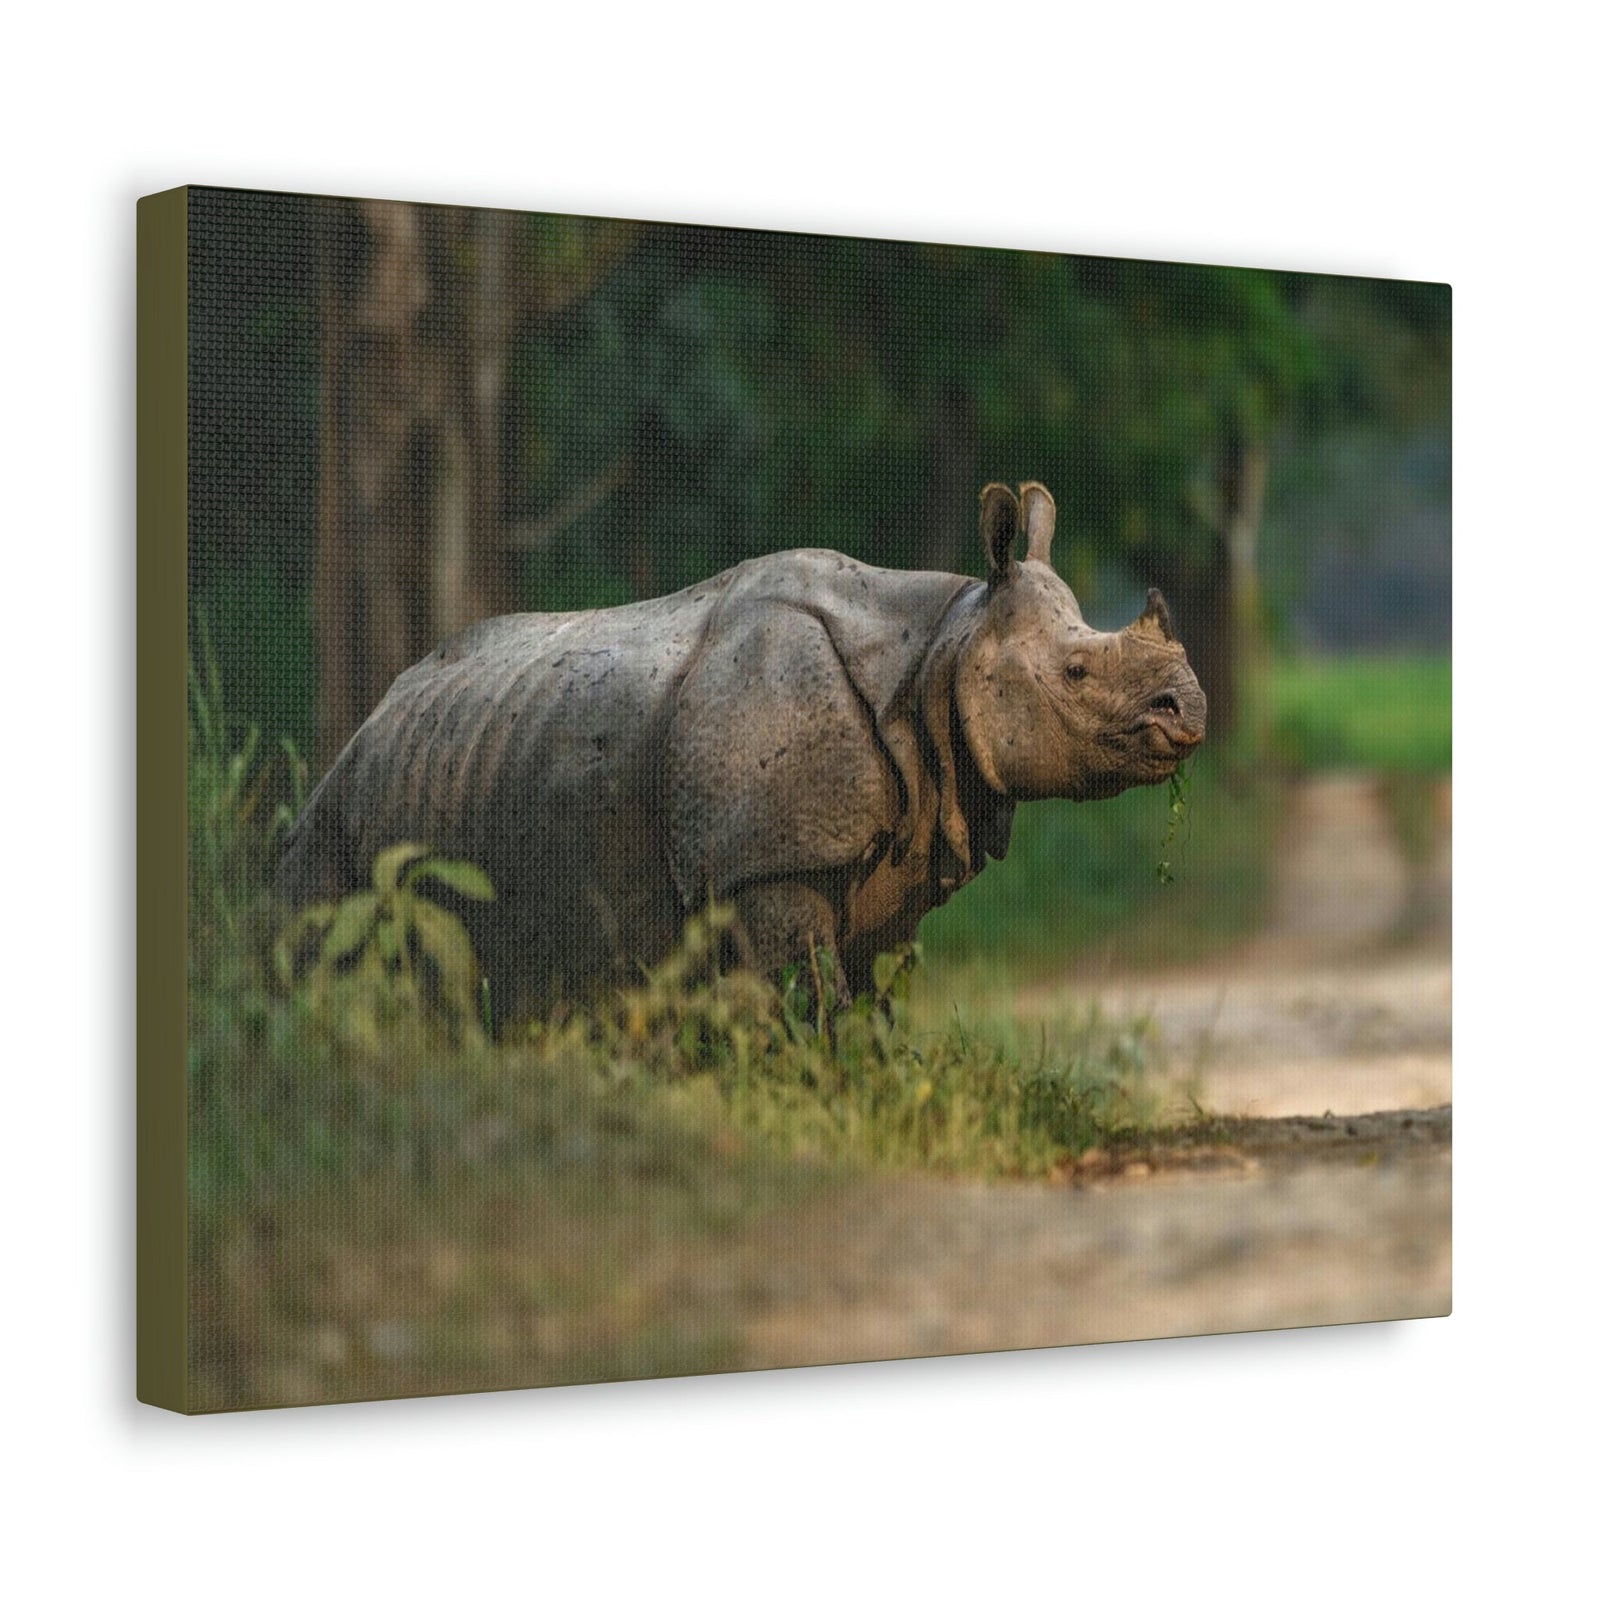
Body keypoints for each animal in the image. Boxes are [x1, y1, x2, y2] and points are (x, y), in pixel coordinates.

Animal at [277, 483, 1206, 1015]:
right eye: (1076, 673)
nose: (1190, 709)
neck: (945, 646)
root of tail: (366, 724)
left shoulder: (894, 858)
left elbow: (871, 1004)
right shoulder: (764, 860)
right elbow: (814, 1003)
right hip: (335, 821)